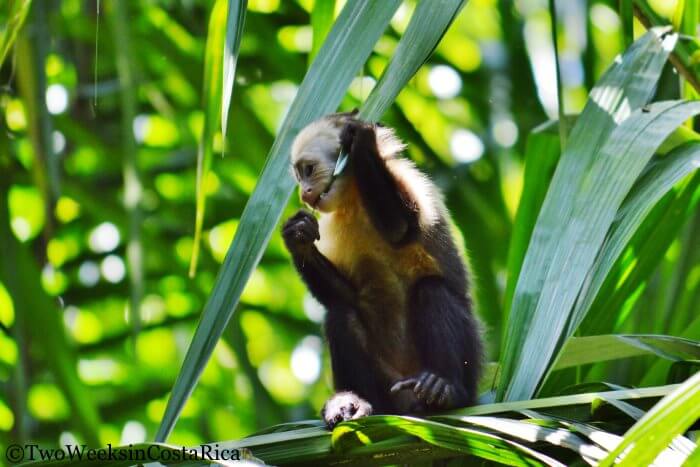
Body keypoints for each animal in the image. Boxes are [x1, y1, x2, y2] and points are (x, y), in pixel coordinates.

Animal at [281, 111, 483, 429]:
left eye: (308, 170)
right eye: (299, 176)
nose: (304, 193)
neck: (355, 197)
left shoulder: (405, 180)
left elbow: (400, 228)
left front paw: (362, 141)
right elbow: (345, 296)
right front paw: (297, 237)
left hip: (470, 363)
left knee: (431, 290)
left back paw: (445, 389)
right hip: (387, 386)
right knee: (340, 314)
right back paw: (355, 402)